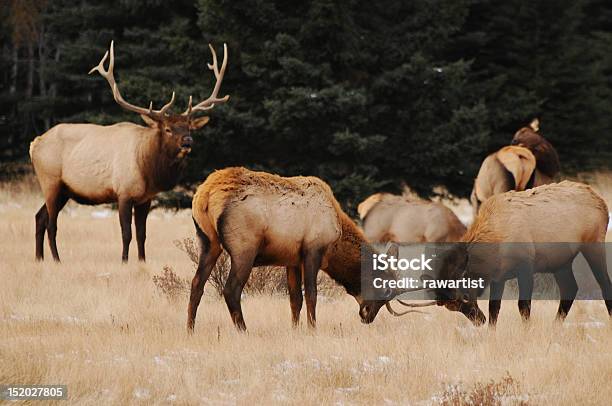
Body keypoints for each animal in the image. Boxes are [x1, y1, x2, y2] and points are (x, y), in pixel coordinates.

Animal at [29, 42, 230, 264]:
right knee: (51, 224)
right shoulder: (123, 193)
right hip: (50, 181)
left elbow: (142, 234)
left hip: (64, 190)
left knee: (39, 217)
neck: (148, 169)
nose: (187, 141)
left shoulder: (146, 198)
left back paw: (39, 258)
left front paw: (142, 261)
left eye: (189, 127)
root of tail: (34, 143)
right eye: (168, 129)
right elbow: (127, 233)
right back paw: (56, 259)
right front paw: (124, 261)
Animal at [188, 167, 426, 332]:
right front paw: (313, 329)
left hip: (208, 242)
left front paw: (295, 329)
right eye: (383, 290)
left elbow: (295, 299)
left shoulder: (291, 259)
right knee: (231, 289)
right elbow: (311, 294)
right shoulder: (313, 251)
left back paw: (190, 329)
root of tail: (205, 195)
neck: (337, 237)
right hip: (244, 248)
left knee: (197, 284)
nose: (367, 316)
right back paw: (244, 331)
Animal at [432, 182, 608, 326]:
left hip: (594, 243)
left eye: (466, 296)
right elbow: (493, 308)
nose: (479, 321)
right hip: (561, 261)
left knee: (603, 283)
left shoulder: (526, 265)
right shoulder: (498, 276)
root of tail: (602, 201)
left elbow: (523, 305)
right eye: (454, 308)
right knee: (570, 288)